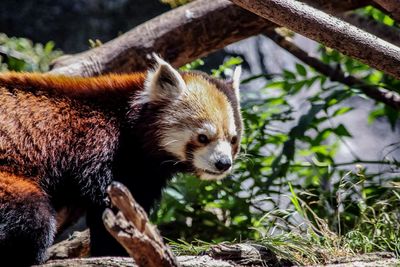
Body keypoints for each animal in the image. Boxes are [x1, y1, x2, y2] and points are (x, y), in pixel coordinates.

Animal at [0, 57, 242, 266]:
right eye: (203, 137)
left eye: (232, 139)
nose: (223, 163)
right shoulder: (98, 148)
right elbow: (107, 207)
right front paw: (115, 250)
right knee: (33, 216)